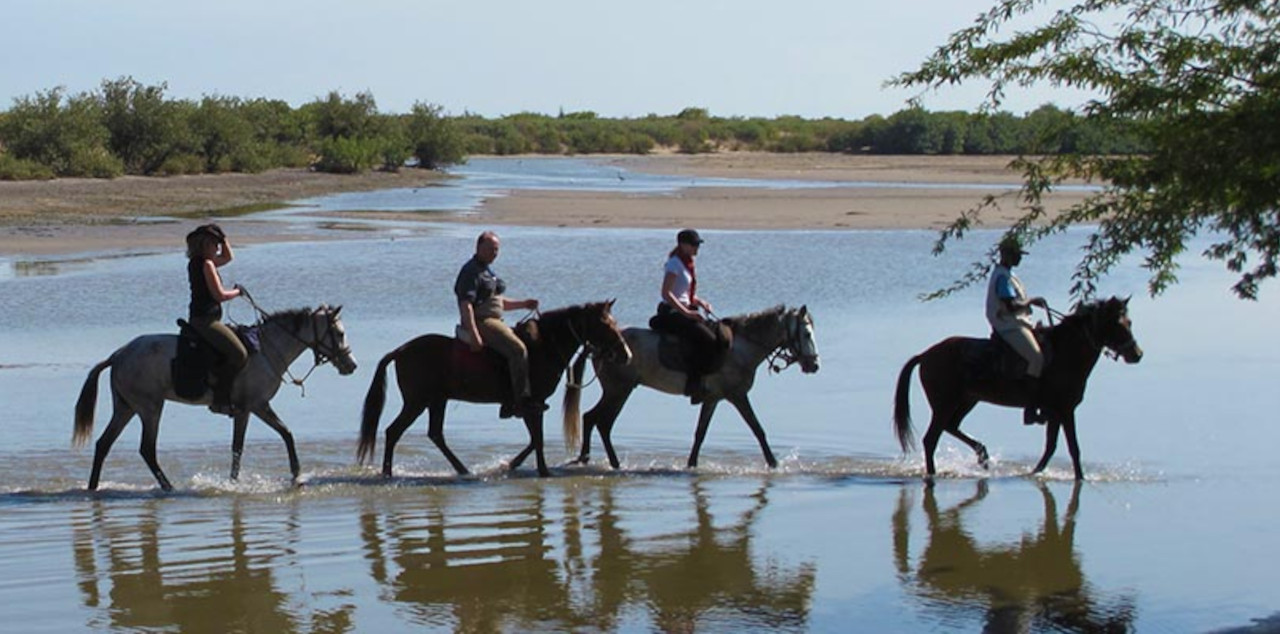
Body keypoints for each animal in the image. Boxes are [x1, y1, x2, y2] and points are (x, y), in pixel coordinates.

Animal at [73, 306, 358, 491]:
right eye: (340, 333)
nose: (351, 365)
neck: (266, 350)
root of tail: (119, 353)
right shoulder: (252, 407)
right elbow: (242, 446)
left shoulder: (256, 407)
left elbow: (282, 435)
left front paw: (294, 476)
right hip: (149, 408)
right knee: (146, 449)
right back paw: (169, 487)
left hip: (126, 408)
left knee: (103, 444)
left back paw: (93, 488)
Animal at [358, 300, 632, 476]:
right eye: (605, 325)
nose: (626, 354)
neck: (545, 346)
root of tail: (401, 350)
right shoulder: (532, 404)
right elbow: (538, 439)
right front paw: (542, 471)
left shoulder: (530, 406)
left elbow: (534, 440)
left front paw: (511, 464)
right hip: (417, 401)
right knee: (394, 431)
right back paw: (388, 473)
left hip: (437, 400)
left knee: (435, 434)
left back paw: (462, 470)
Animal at [568, 304, 819, 468]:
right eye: (807, 334)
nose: (814, 365)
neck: (740, 348)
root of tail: (597, 346)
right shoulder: (737, 395)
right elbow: (757, 428)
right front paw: (774, 463)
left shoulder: (712, 398)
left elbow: (700, 433)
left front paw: (691, 465)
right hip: (618, 390)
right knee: (599, 421)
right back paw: (608, 462)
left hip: (618, 390)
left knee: (594, 420)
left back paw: (591, 459)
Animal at [896, 297, 1146, 481]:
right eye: (1117, 324)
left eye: (1130, 322)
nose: (1137, 354)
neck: (1065, 353)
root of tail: (925, 355)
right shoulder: (1065, 410)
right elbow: (1073, 448)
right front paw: (1080, 477)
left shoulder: (1055, 412)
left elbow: (1051, 446)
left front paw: (1035, 472)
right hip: (944, 404)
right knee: (931, 439)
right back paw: (934, 473)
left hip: (967, 400)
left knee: (951, 427)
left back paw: (982, 455)